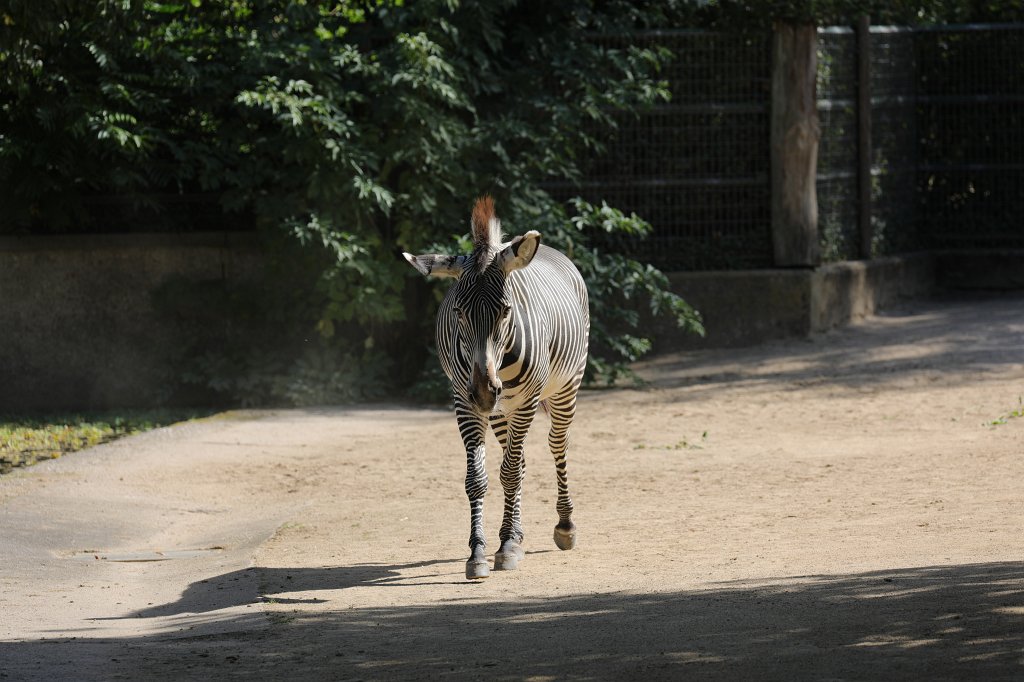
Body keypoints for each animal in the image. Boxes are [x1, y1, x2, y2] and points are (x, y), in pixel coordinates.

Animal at [403, 196, 589, 579]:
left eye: (505, 311)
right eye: (458, 312)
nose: (486, 391)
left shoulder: (527, 401)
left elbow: (508, 473)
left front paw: (504, 548)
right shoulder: (464, 402)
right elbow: (478, 478)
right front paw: (479, 552)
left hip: (565, 387)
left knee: (556, 445)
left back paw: (564, 526)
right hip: (502, 412)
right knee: (520, 461)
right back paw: (517, 534)